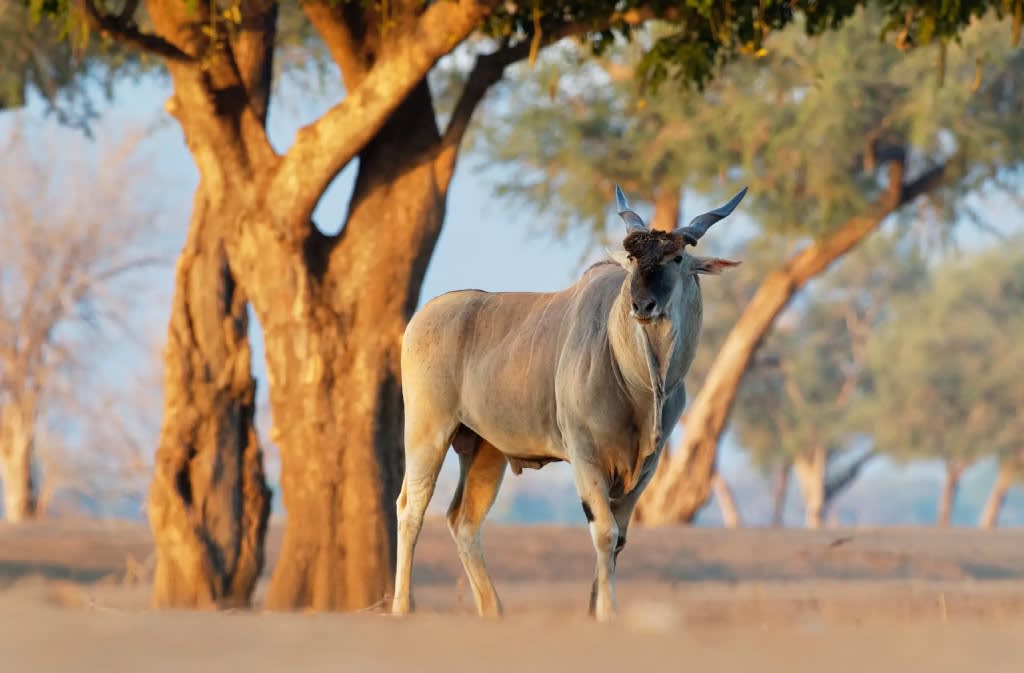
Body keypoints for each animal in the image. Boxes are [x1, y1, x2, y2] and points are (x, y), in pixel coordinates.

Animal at [389, 182, 745, 618]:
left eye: (677, 257)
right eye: (632, 258)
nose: (642, 305)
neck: (638, 382)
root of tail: (422, 317)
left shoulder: (645, 466)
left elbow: (619, 538)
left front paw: (596, 611)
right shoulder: (585, 455)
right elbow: (605, 533)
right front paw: (606, 613)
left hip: (485, 450)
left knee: (463, 519)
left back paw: (494, 611)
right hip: (428, 433)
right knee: (411, 509)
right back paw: (403, 608)